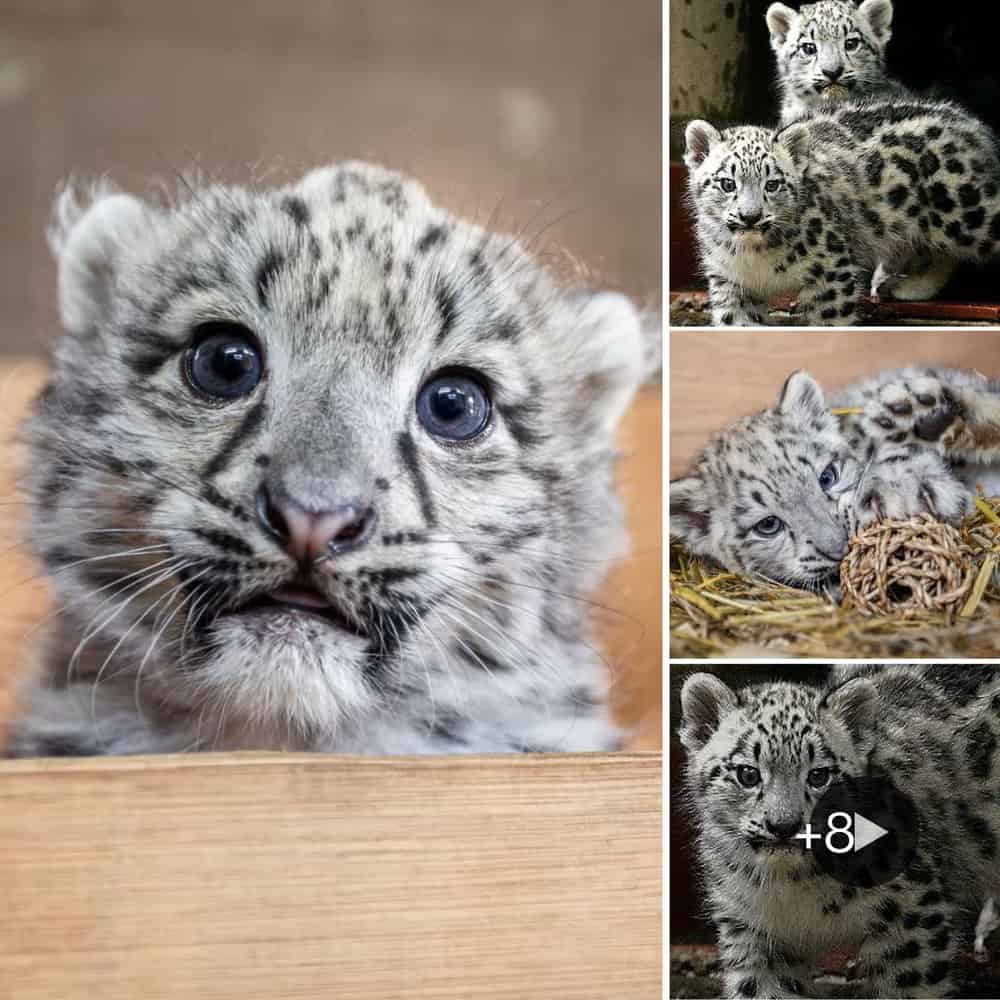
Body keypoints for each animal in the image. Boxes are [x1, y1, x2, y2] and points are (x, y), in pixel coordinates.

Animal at [680, 663, 1000, 998]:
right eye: (747, 773)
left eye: (819, 775)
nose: (784, 825)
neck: (793, 887)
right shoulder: (751, 932)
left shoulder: (912, 917)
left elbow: (908, 987)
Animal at [683, 98, 1000, 326]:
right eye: (727, 183)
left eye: (772, 184)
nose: (750, 216)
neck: (753, 256)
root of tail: (968, 123)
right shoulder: (730, 283)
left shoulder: (830, 273)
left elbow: (829, 324)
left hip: (965, 213)